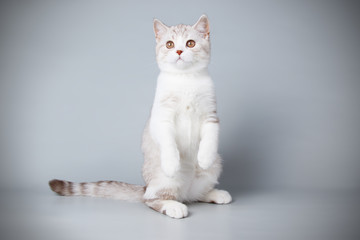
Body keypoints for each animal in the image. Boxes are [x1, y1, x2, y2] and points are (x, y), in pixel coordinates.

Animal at [49, 14, 232, 218]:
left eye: (190, 43)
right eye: (169, 44)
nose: (178, 51)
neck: (185, 80)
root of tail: (146, 187)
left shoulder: (211, 115)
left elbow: (210, 137)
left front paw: (205, 157)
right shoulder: (161, 118)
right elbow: (168, 142)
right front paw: (172, 162)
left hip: (214, 168)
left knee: (194, 194)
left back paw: (214, 193)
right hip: (164, 180)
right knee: (151, 199)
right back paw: (174, 206)